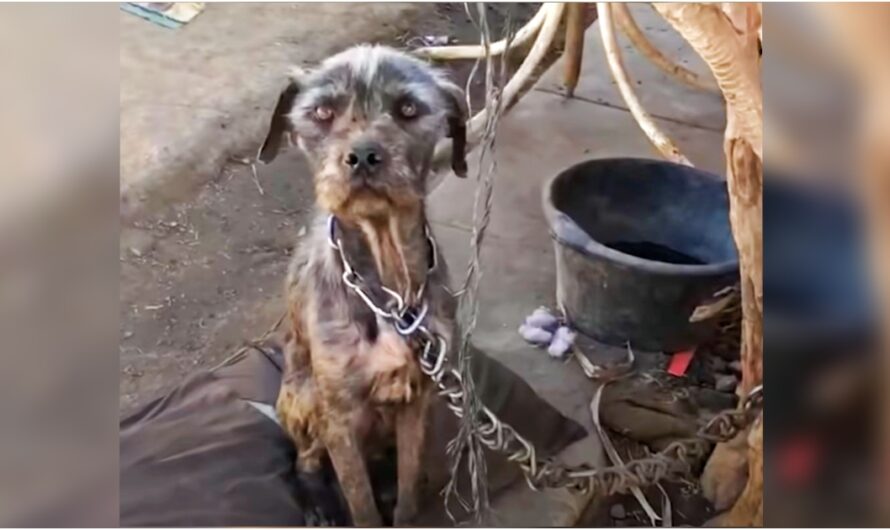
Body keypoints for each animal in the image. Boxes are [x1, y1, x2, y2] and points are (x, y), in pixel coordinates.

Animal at [256, 45, 464, 524]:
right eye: (322, 111)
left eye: (409, 108)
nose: (364, 156)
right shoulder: (340, 416)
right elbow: (361, 503)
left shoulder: (418, 398)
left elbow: (408, 488)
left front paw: (404, 505)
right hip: (305, 396)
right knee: (305, 461)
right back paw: (318, 503)